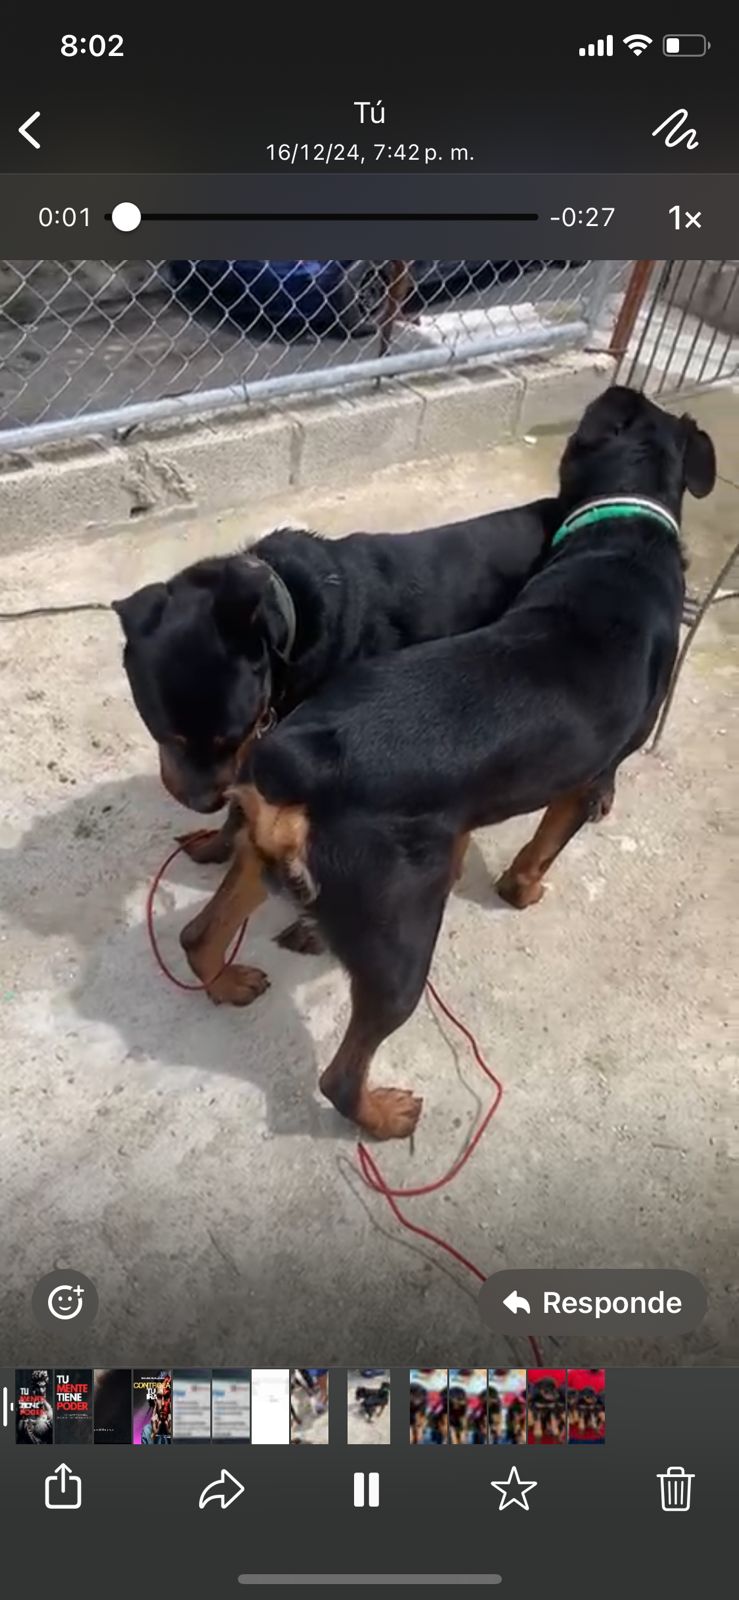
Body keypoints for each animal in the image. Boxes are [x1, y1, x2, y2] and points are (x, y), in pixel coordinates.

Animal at [181, 387, 713, 1139]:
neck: (620, 541)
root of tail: (300, 756)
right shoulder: (585, 777)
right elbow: (544, 847)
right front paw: (523, 891)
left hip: (262, 854)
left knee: (199, 936)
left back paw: (227, 981)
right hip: (402, 943)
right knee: (339, 1075)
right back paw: (383, 1114)